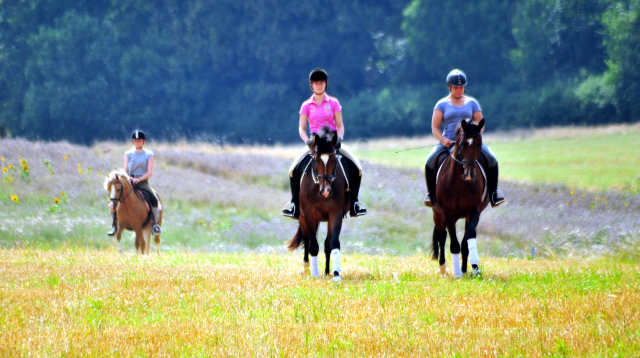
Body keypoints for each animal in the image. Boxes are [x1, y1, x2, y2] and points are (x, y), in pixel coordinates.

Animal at [288, 127, 350, 282]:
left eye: (334, 160)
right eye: (316, 160)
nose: (326, 191)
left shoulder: (335, 214)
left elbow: (333, 243)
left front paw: (336, 274)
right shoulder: (309, 215)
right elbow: (313, 245)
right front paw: (315, 274)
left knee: (327, 243)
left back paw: (328, 271)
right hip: (303, 218)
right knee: (307, 240)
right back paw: (306, 269)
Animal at [432, 119, 488, 278]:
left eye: (479, 144)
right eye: (462, 144)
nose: (469, 174)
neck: (460, 183)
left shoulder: (474, 211)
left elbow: (468, 237)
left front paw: (474, 268)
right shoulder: (448, 212)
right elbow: (454, 243)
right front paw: (457, 273)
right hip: (437, 213)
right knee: (442, 236)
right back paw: (443, 268)